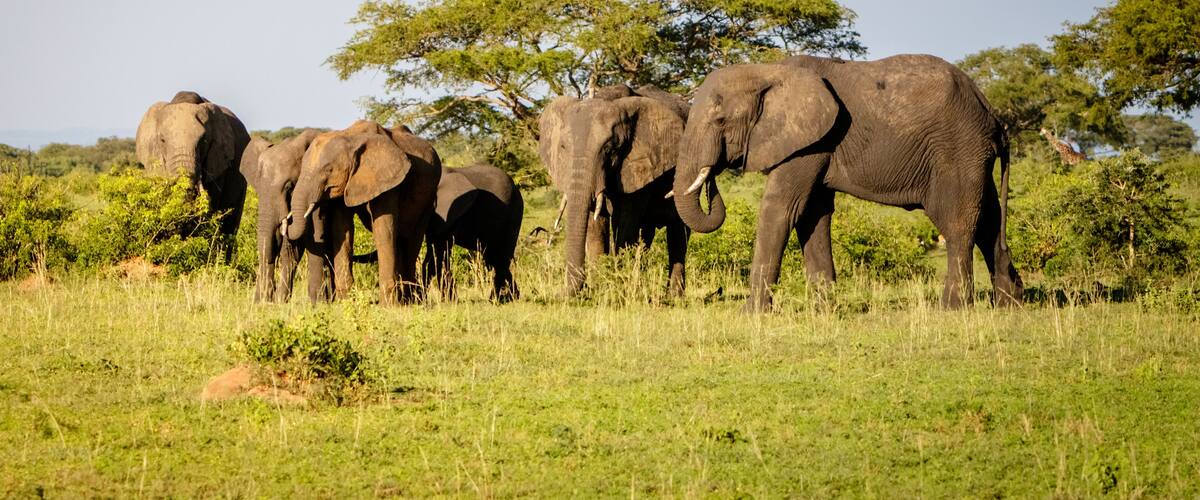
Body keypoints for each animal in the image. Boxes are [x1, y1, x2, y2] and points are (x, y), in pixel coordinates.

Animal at [239, 129, 329, 303]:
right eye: (258, 188)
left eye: (289, 187)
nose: (269, 296)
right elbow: (288, 247)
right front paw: (270, 302)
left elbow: (309, 240)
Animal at [283, 120, 441, 305]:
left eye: (329, 170)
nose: (285, 221)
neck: (351, 137)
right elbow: (342, 230)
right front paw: (345, 303)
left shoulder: (388, 179)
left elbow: (384, 230)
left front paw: (387, 307)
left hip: (429, 198)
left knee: (412, 239)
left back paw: (412, 301)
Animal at [423, 163, 524, 302]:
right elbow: (433, 254)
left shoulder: (451, 214)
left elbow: (439, 255)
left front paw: (449, 301)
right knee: (494, 258)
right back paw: (512, 297)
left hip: (513, 214)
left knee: (500, 258)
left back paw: (495, 300)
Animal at [538, 84, 691, 296]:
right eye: (563, 147)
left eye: (610, 149)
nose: (559, 294)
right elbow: (595, 224)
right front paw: (600, 288)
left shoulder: (639, 166)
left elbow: (626, 222)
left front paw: (617, 288)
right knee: (647, 235)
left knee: (678, 233)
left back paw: (674, 296)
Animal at [673, 54, 1023, 311]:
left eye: (721, 121)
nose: (711, 179)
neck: (767, 71)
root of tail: (991, 112)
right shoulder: (815, 143)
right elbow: (812, 214)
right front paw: (823, 310)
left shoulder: (809, 141)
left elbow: (781, 209)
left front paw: (752, 313)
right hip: (973, 154)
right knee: (990, 220)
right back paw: (1011, 303)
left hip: (957, 150)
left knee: (958, 222)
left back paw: (952, 308)